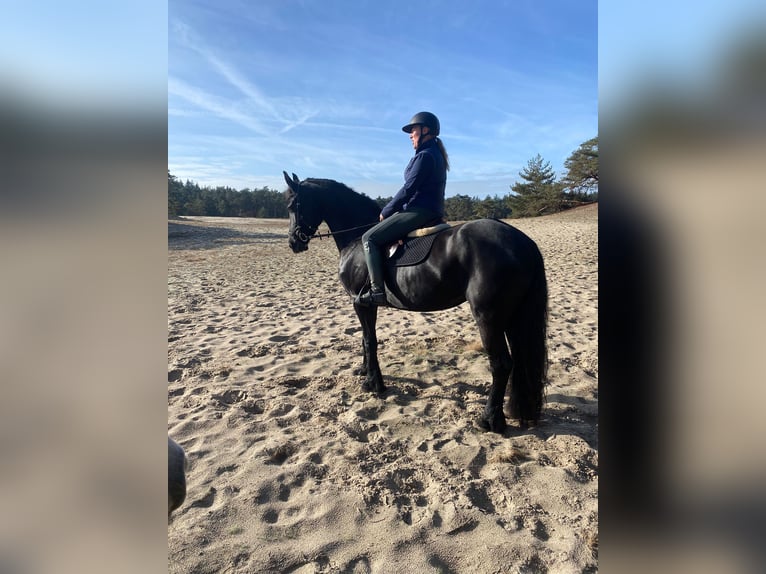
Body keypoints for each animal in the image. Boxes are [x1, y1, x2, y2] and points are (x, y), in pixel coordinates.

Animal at [284, 173, 548, 434]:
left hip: (488, 318)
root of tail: (523, 242)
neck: (357, 241)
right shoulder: (363, 305)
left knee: (501, 364)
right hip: (513, 317)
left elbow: (370, 340)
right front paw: (364, 371)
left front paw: (373, 383)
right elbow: (364, 339)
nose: (293, 242)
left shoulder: (362, 303)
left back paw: (490, 420)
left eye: (292, 205)